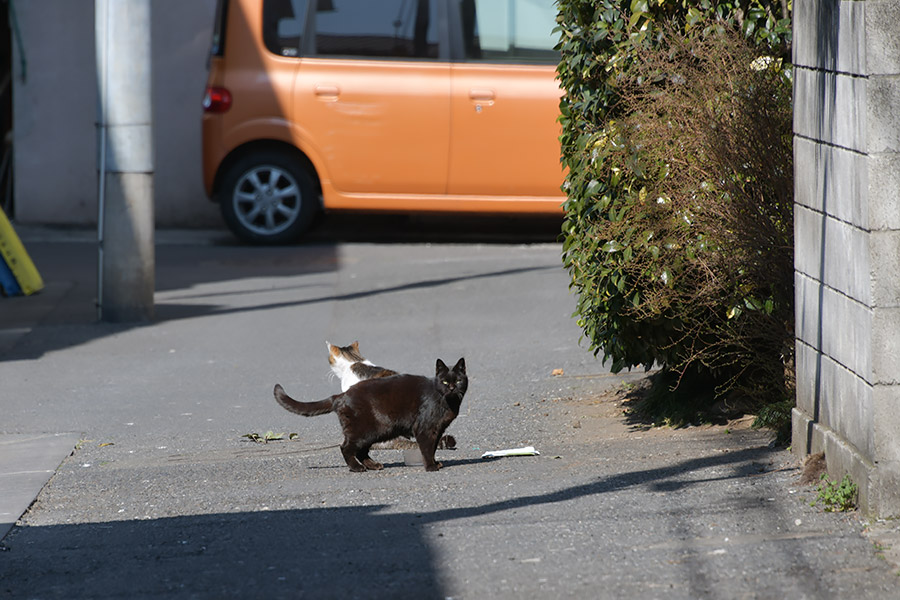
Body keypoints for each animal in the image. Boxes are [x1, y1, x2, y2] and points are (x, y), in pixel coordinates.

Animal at [276, 356, 468, 474]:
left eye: (458, 380)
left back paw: (373, 465)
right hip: (367, 430)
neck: (446, 401)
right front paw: (430, 467)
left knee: (361, 451)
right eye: (445, 381)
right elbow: (427, 449)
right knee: (345, 447)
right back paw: (356, 468)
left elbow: (433, 447)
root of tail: (341, 395)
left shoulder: (438, 429)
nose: (452, 388)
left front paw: (436, 463)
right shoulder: (425, 428)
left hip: (375, 432)